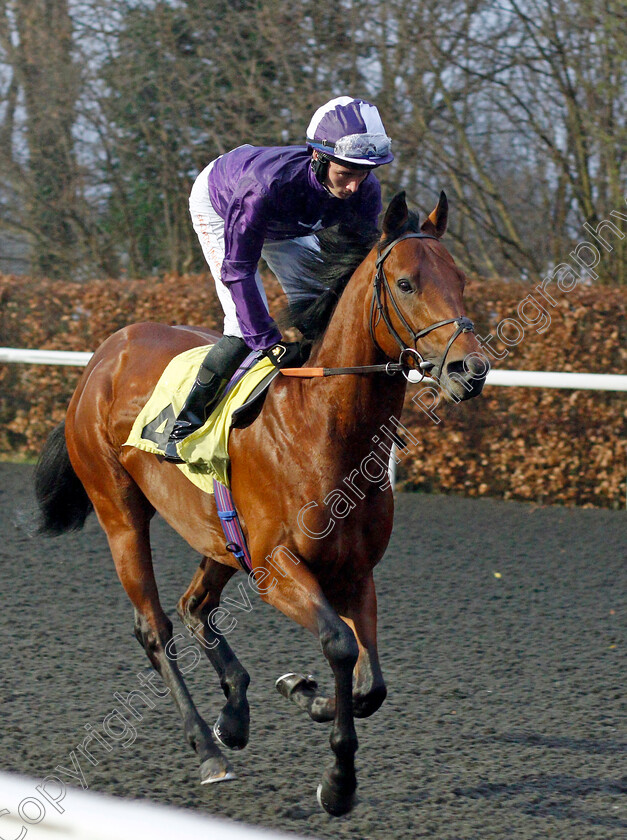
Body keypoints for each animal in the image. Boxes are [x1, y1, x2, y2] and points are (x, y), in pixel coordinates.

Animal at [34, 192, 488, 812]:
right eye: (405, 283)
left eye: (461, 280)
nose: (471, 369)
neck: (322, 427)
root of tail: (103, 354)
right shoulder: (277, 569)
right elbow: (340, 646)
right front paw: (337, 780)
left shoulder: (356, 570)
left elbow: (372, 684)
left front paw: (303, 693)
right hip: (119, 512)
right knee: (155, 627)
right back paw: (207, 748)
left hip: (219, 537)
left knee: (195, 604)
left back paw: (234, 714)